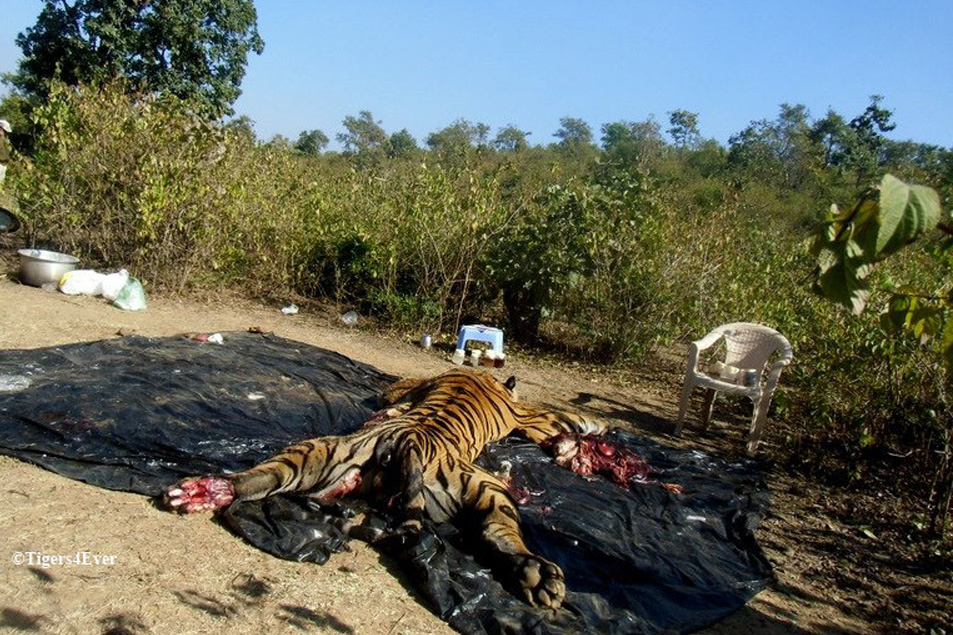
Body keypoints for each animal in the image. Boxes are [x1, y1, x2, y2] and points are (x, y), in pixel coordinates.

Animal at [164, 368, 606, 610]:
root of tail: (408, 441)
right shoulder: (526, 416)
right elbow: (557, 417)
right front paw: (593, 425)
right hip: (485, 485)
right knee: (500, 533)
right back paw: (538, 576)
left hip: (314, 453)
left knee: (260, 477)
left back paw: (205, 491)